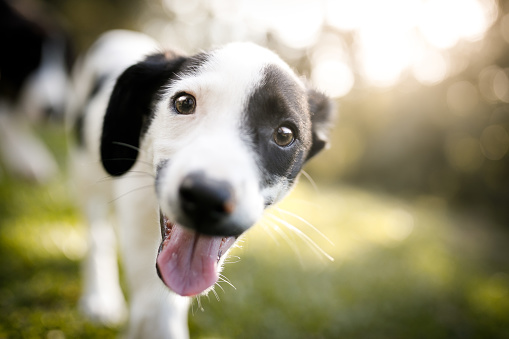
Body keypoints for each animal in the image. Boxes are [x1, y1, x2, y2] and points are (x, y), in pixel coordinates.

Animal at [69, 30, 334, 338]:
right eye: (184, 103)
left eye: (284, 134)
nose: (206, 197)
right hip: (86, 174)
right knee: (98, 236)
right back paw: (99, 297)